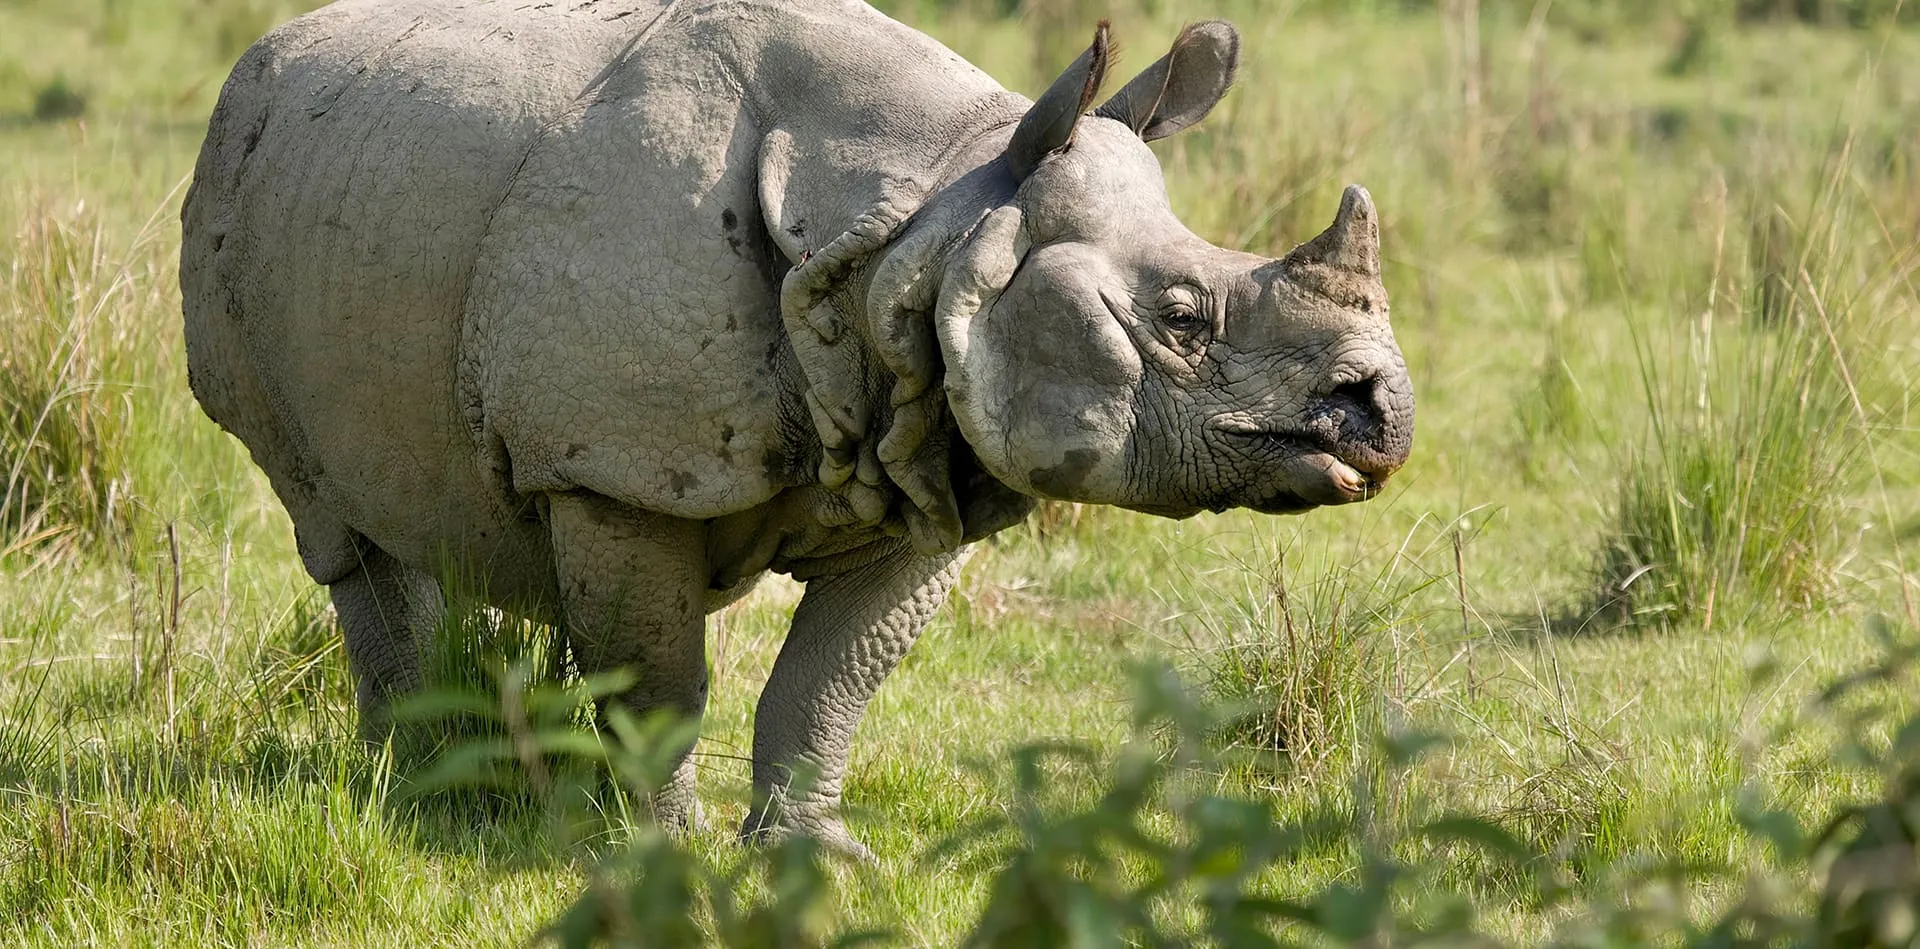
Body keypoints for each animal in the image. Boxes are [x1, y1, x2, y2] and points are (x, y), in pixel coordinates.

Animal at [181, 0, 1414, 857]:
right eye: (1182, 318)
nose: (1383, 417)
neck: (931, 219)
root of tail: (263, 60)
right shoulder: (614, 468)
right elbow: (659, 677)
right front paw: (663, 852)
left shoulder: (930, 445)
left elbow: (833, 678)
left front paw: (816, 855)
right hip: (245, 193)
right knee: (336, 525)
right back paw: (419, 783)